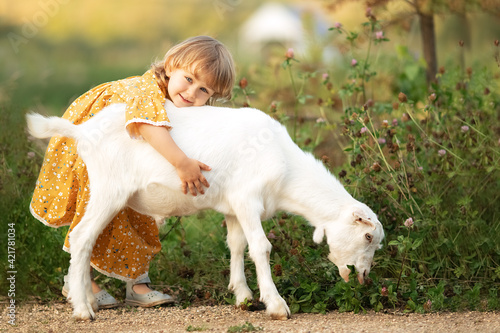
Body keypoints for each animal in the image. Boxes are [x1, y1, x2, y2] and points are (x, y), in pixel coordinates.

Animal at [26, 100, 382, 320]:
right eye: (367, 236)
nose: (364, 277)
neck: (286, 169)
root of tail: (82, 131)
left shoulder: (234, 207)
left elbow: (237, 246)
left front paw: (242, 296)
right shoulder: (248, 199)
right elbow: (261, 247)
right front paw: (275, 304)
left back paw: (84, 298)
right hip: (107, 189)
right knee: (82, 238)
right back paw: (82, 309)